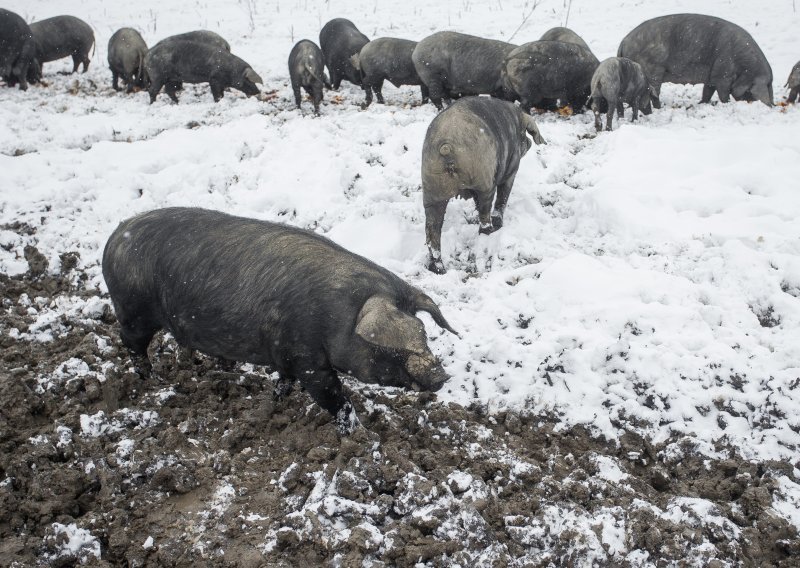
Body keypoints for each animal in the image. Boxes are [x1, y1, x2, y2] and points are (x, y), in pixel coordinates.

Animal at [103, 206, 456, 432]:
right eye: (387, 349)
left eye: (423, 332)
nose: (440, 376)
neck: (336, 317)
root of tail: (115, 235)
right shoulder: (308, 358)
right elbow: (334, 397)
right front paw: (359, 437)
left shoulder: (285, 353)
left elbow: (283, 380)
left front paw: (275, 401)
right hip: (133, 309)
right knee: (130, 341)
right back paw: (153, 381)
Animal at [422, 98, 548, 276]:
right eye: (524, 133)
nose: (529, 142)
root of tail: (447, 146)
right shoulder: (511, 169)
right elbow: (503, 196)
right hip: (484, 181)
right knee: (485, 211)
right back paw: (490, 231)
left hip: (432, 190)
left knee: (432, 229)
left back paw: (439, 269)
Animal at [616, 13, 772, 106]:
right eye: (750, 92)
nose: (770, 105)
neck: (745, 67)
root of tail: (624, 41)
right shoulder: (723, 72)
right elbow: (723, 93)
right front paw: (726, 104)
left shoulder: (712, 76)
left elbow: (707, 91)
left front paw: (702, 104)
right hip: (652, 69)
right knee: (652, 93)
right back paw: (659, 108)